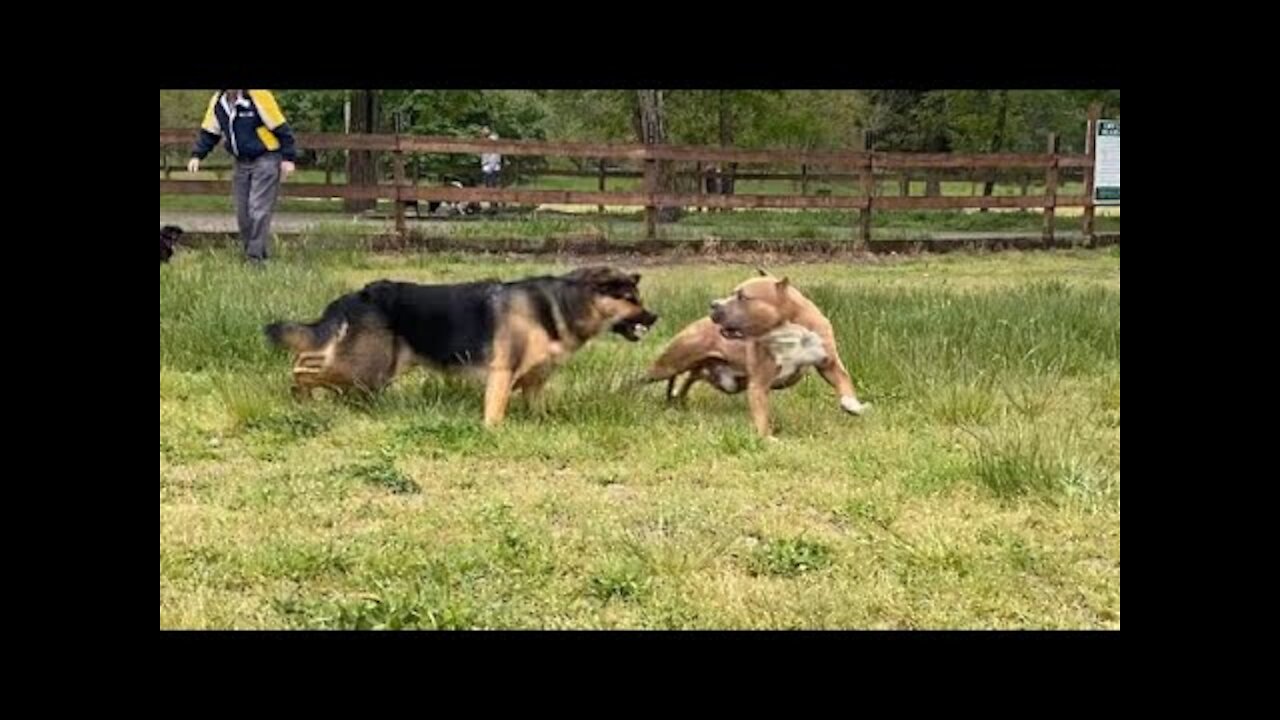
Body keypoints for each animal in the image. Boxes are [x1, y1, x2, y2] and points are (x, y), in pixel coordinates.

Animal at [645, 269, 865, 435]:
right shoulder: (759, 383)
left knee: (689, 378)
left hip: (719, 377)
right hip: (670, 364)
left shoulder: (829, 363)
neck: (786, 328)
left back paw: (678, 401)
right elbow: (761, 413)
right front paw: (766, 437)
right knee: (649, 377)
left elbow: (844, 383)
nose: (714, 304)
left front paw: (852, 405)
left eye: (742, 297)